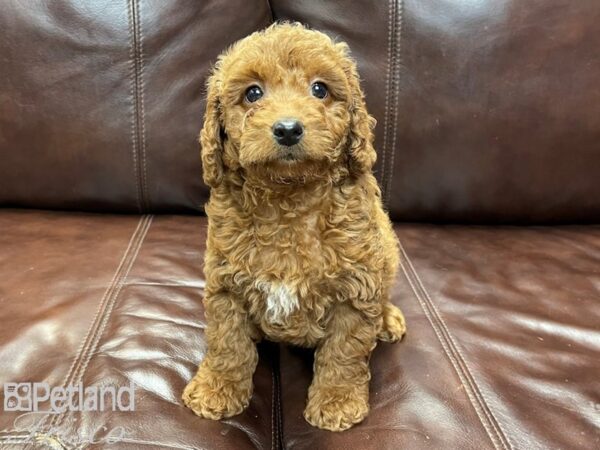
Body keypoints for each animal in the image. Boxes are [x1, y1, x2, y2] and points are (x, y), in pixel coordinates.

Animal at [183, 22, 406, 430]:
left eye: (320, 89)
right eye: (253, 93)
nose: (287, 129)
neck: (289, 200)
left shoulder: (356, 288)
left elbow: (344, 352)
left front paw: (336, 402)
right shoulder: (225, 285)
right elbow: (227, 343)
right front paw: (216, 391)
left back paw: (386, 319)